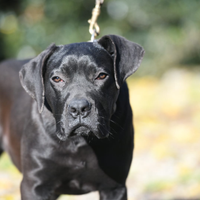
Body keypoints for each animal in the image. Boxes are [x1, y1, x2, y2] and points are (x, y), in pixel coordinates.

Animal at [0, 35, 145, 199]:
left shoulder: (115, 186)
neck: (80, 140)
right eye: (57, 78)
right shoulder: (35, 186)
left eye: (101, 76)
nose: (79, 108)